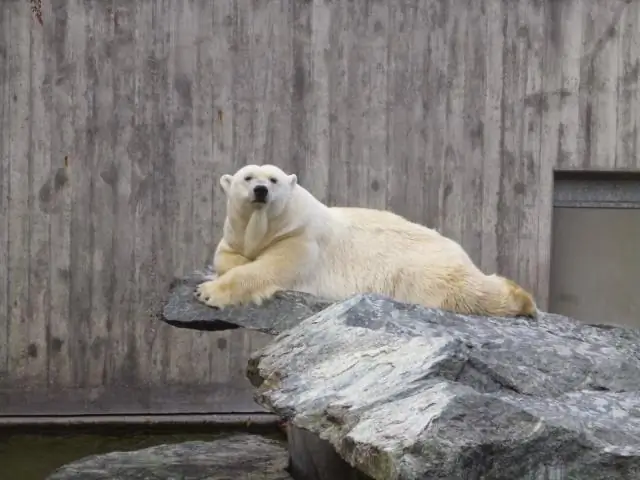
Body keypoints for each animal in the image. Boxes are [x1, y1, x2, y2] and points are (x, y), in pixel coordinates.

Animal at [192, 163, 536, 316]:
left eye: (273, 179)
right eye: (247, 177)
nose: (261, 190)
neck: (271, 225)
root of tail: (456, 246)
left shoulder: (301, 240)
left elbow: (266, 270)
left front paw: (208, 292)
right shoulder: (236, 232)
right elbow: (225, 255)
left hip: (421, 269)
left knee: (463, 292)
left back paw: (522, 299)